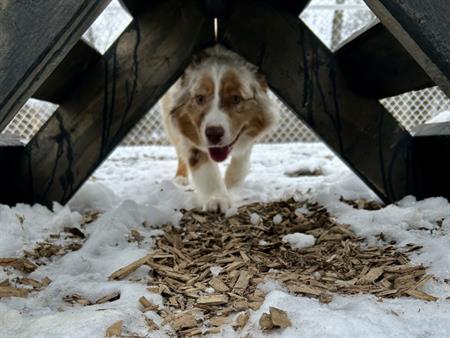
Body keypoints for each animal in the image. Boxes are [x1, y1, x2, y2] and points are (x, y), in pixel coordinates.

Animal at [158, 45, 278, 213]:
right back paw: (180, 177)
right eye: (200, 98)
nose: (213, 134)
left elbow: (241, 159)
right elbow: (205, 166)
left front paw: (231, 184)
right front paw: (217, 198)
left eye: (236, 99)